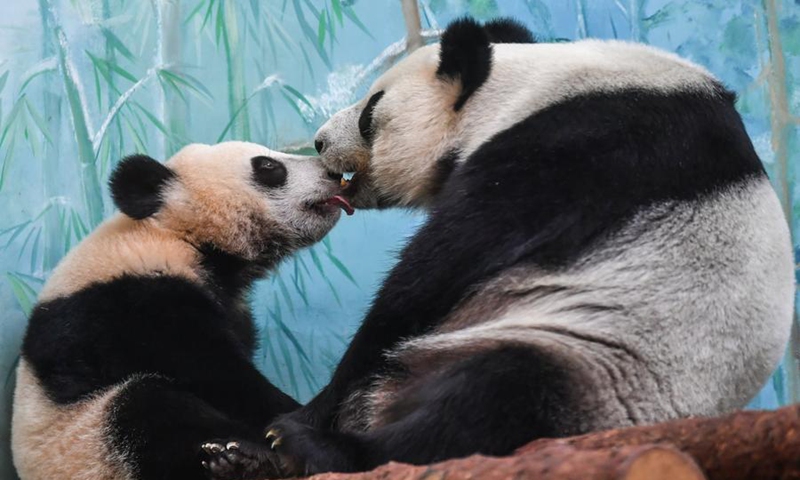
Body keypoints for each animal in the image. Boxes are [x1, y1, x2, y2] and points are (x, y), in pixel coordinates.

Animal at [11, 141, 354, 480]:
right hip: (89, 444)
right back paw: (249, 461)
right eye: (268, 166)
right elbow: (215, 373)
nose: (335, 174)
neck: (176, 234)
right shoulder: (130, 305)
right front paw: (294, 423)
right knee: (146, 407)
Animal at [203, 17, 795, 478]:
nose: (322, 141)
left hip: (599, 364)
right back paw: (245, 460)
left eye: (371, 111)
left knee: (494, 399)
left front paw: (294, 422)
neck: (524, 86)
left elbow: (429, 278)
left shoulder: (577, 147)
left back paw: (320, 450)